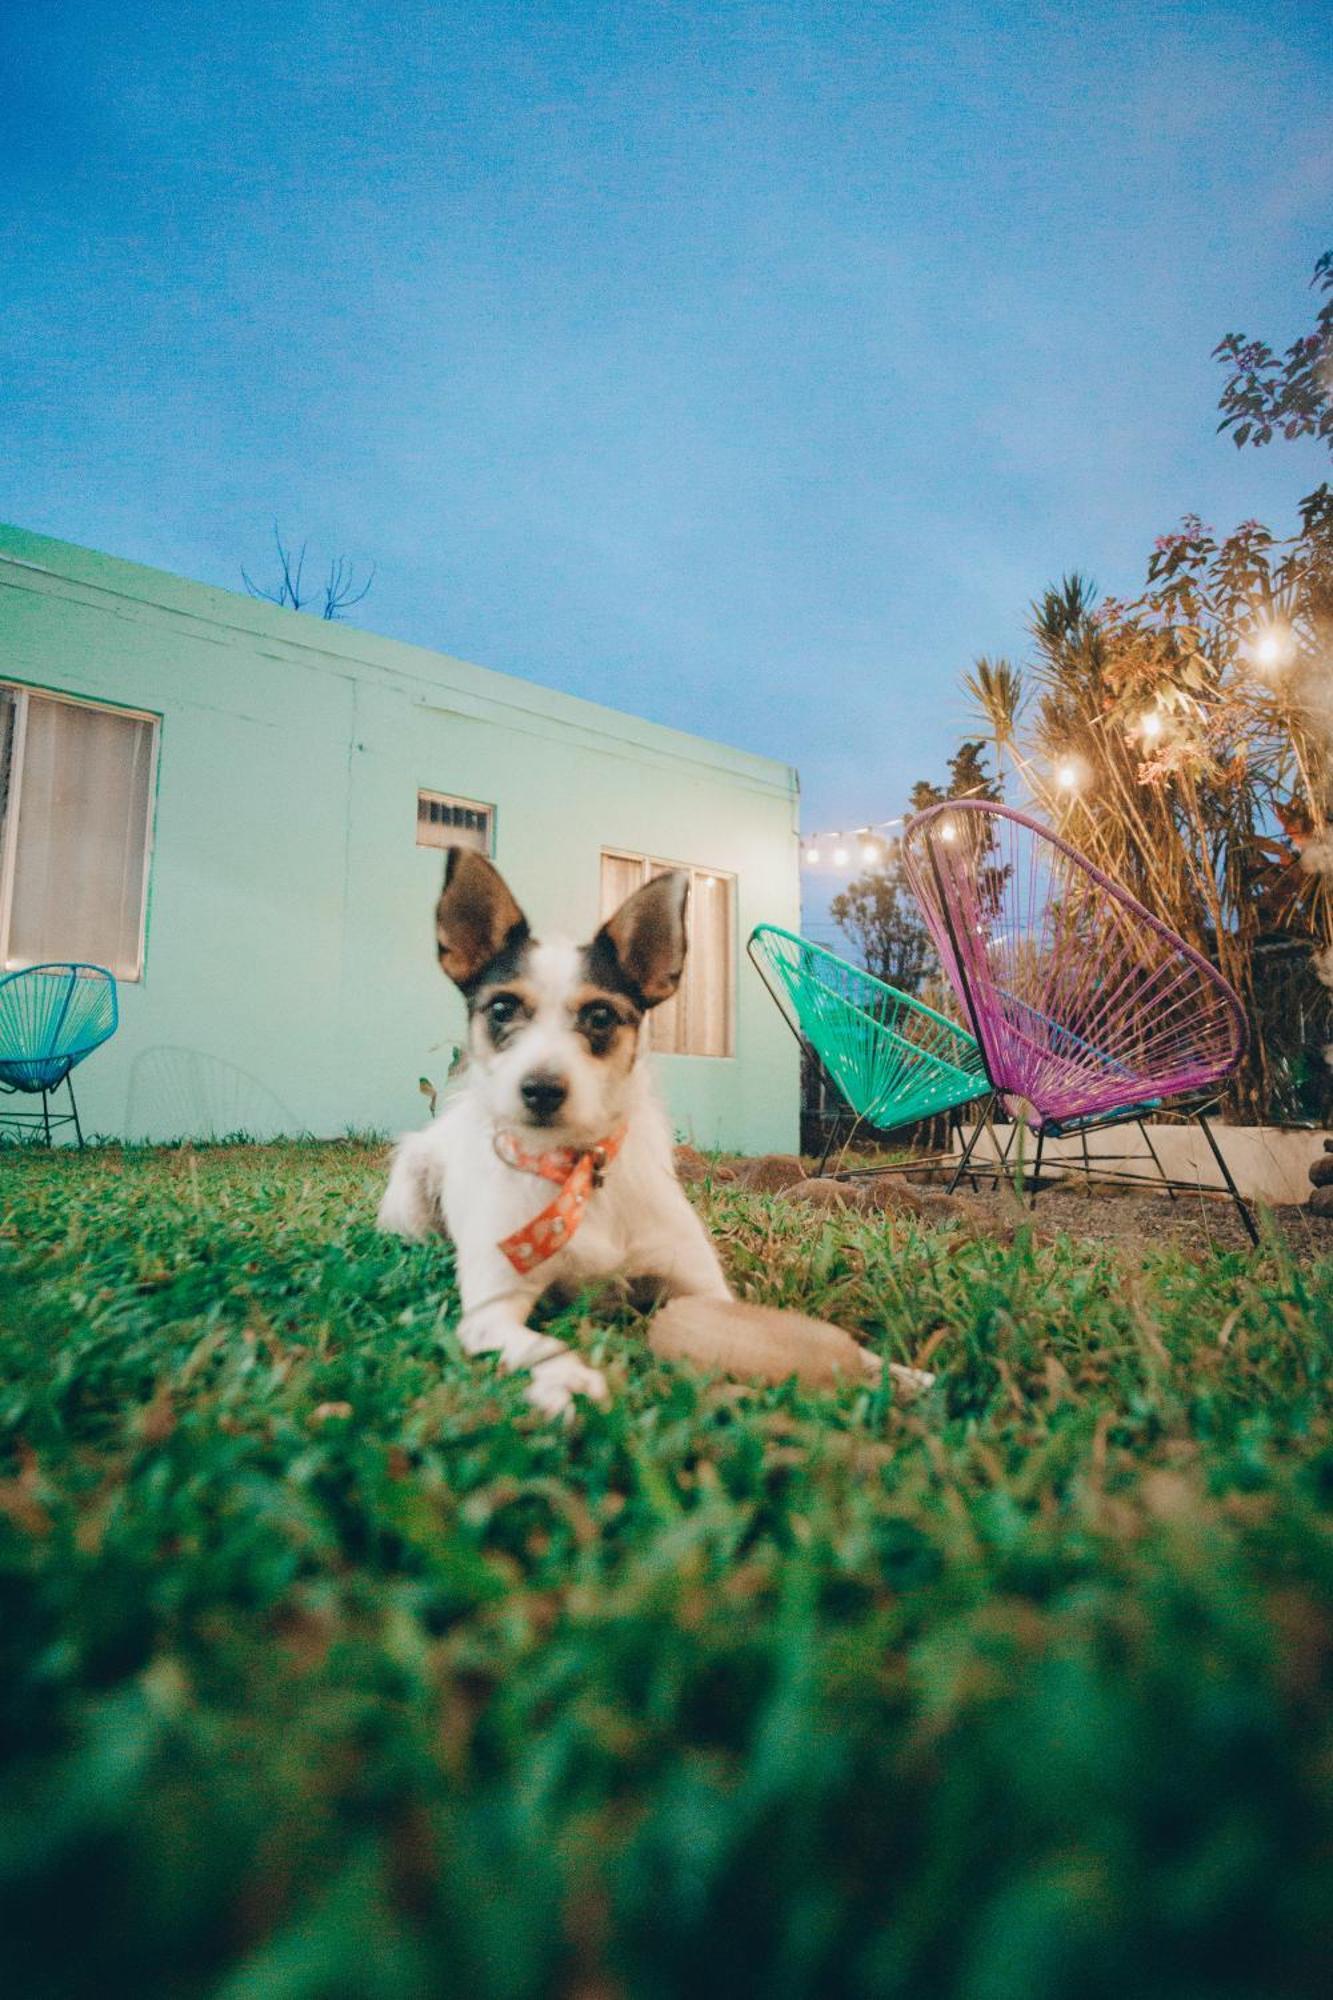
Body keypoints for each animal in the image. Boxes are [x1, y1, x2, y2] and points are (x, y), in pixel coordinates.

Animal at [374, 852, 728, 1416]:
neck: (572, 1168)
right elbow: (542, 1344)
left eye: (600, 1016)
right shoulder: (491, 1312)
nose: (540, 1090)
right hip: (411, 1192)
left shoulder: (703, 1286)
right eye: (501, 1009)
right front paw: (567, 1378)